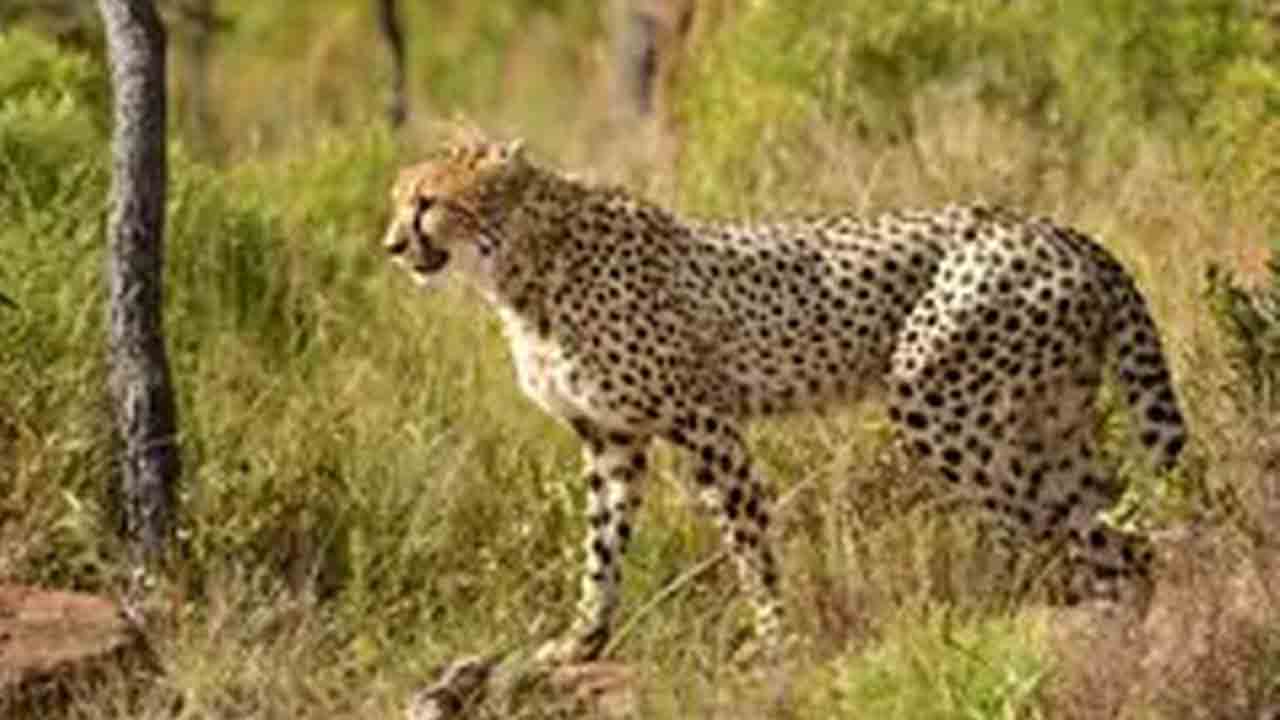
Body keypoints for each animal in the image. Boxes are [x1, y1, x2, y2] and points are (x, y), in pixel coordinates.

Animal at [380, 132, 1187, 666]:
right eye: (397, 202)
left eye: (427, 203)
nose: (391, 246)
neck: (525, 264)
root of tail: (1062, 230)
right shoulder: (612, 438)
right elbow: (601, 547)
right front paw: (582, 640)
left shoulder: (704, 422)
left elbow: (746, 541)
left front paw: (774, 639)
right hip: (1048, 417)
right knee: (1111, 522)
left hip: (939, 405)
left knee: (1101, 538)